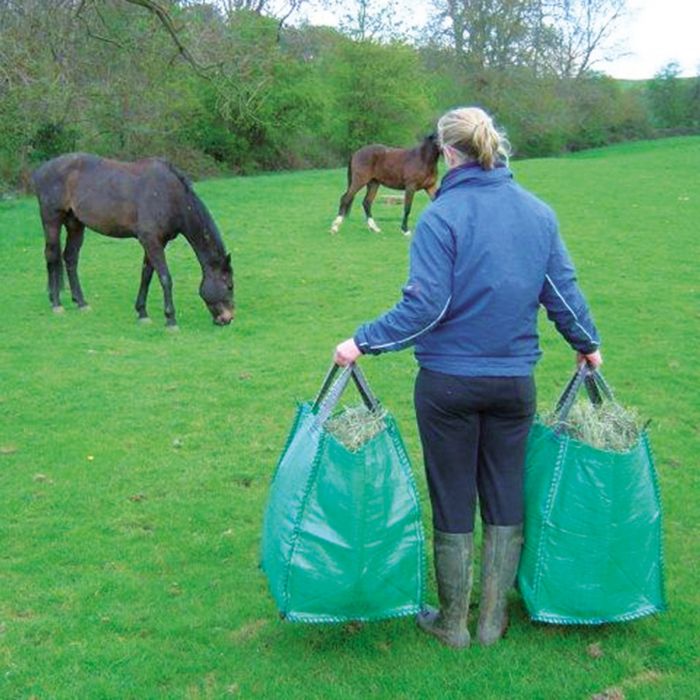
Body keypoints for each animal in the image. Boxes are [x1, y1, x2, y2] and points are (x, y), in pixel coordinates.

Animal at [31, 152, 234, 326]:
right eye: (229, 286)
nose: (228, 318)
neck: (170, 196)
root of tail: (40, 171)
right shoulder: (151, 241)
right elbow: (165, 277)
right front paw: (170, 319)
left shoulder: (156, 243)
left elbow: (146, 275)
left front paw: (142, 312)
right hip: (52, 220)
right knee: (52, 256)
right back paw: (56, 303)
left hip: (75, 223)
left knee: (70, 258)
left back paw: (81, 302)